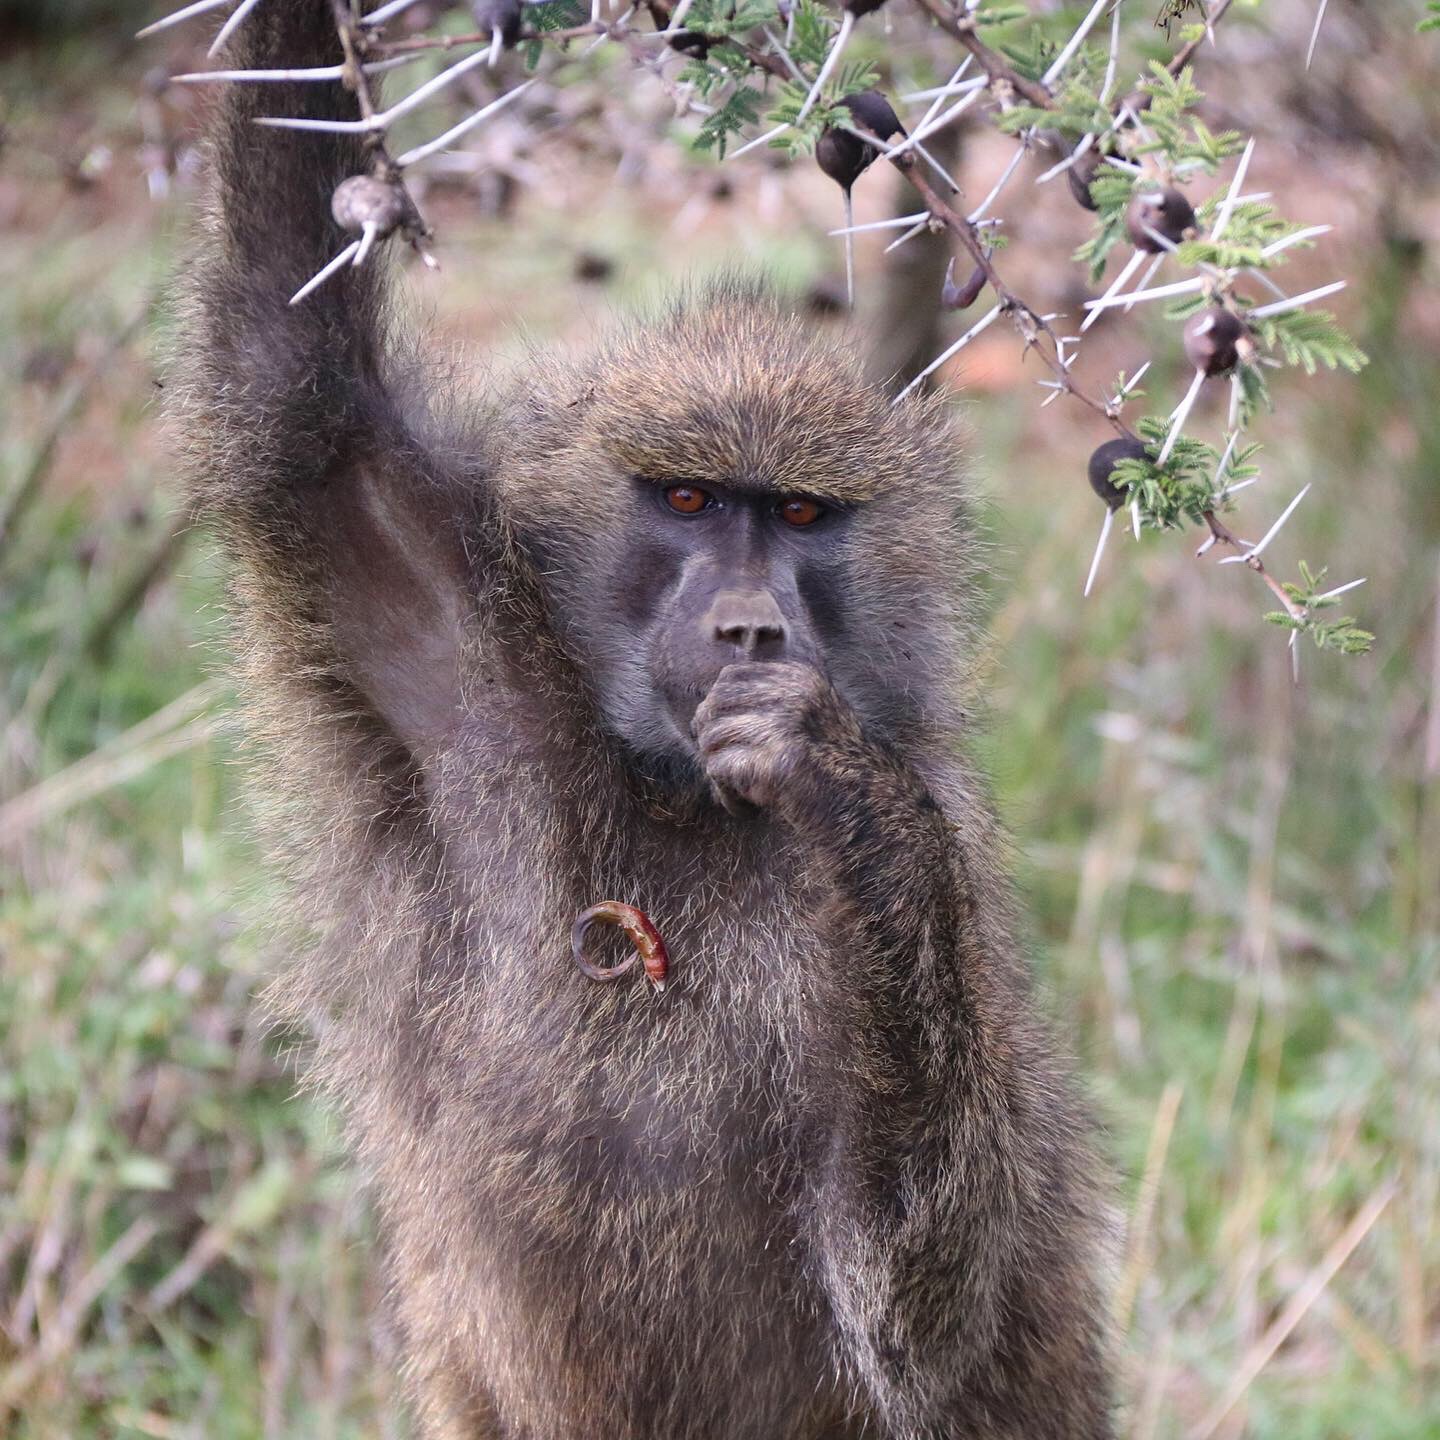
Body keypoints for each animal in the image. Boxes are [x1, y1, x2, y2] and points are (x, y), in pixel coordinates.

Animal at [176, 4, 1116, 1437]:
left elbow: (914, 1299)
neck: (676, 794)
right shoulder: (463, 663)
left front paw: (834, 781)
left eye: (798, 516)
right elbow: (294, 385)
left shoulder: (957, 854)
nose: (748, 631)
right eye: (685, 501)